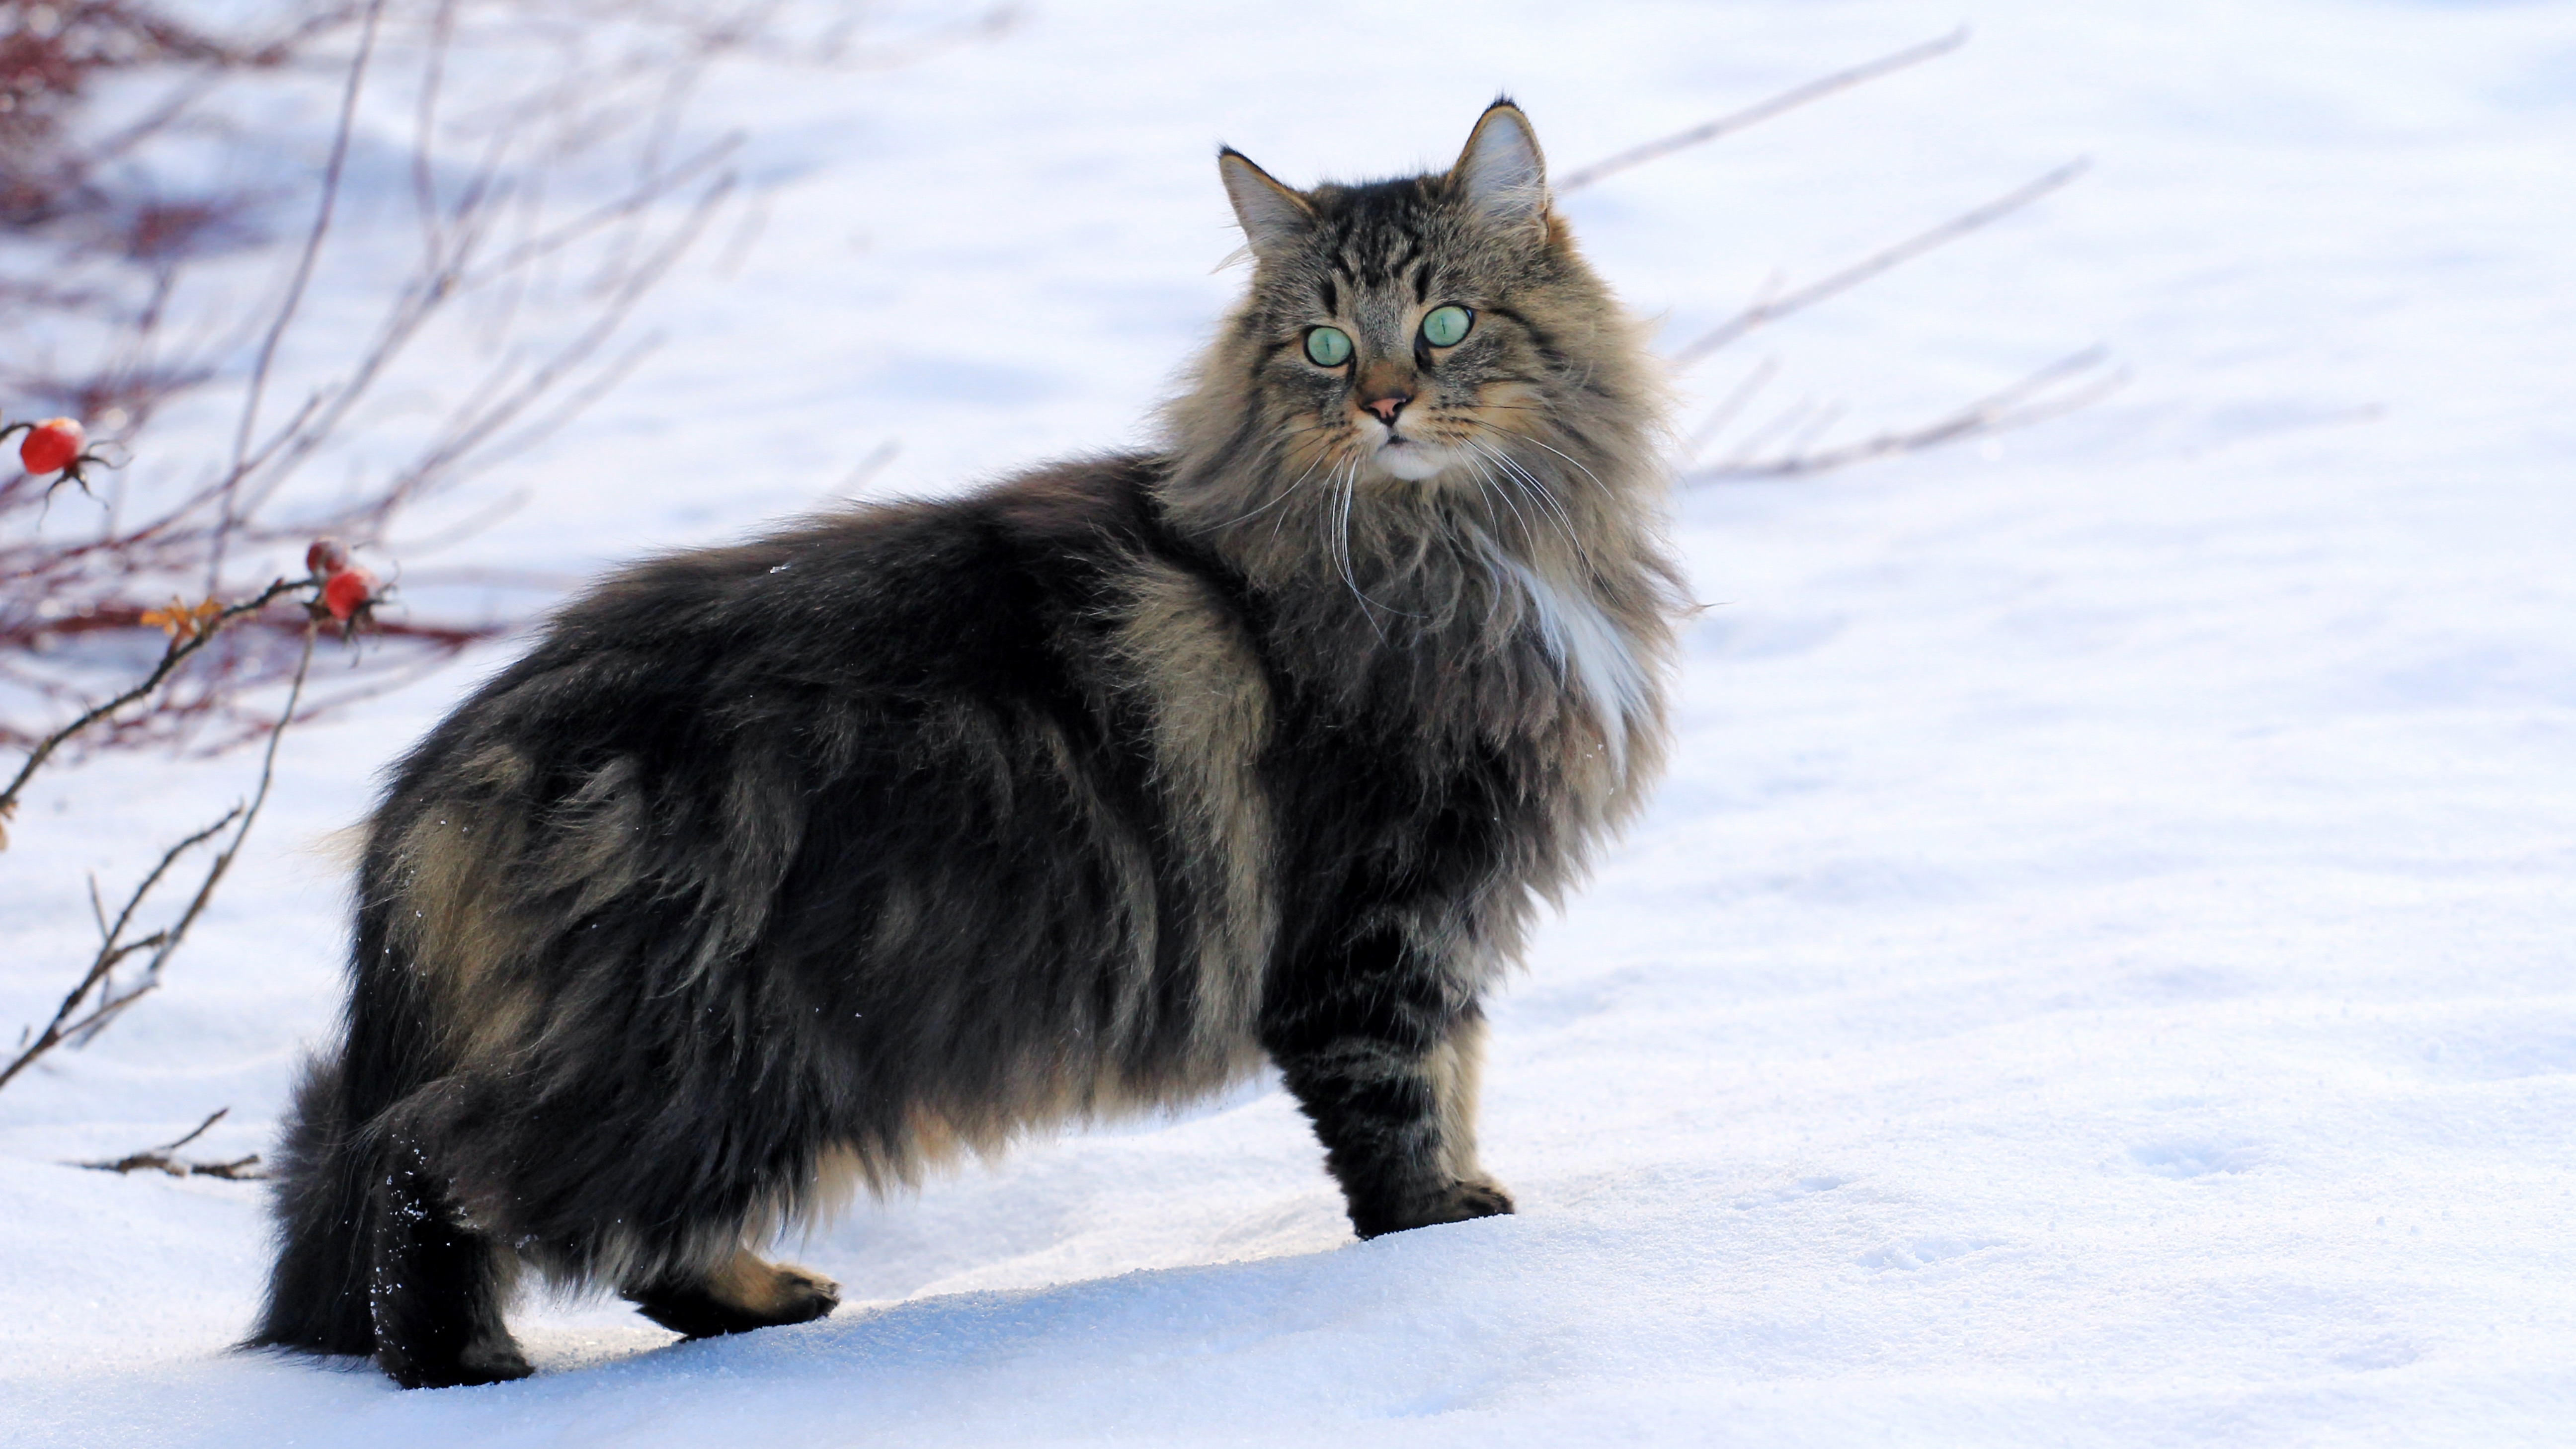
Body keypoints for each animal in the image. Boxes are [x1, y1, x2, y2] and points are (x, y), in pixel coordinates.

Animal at [246, 96, 1690, 1382]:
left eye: (1446, 325)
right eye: (1326, 345)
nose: (1386, 403)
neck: (1456, 550)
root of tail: (449, 763)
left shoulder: (1447, 909)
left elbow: (1456, 1072)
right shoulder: (1382, 916)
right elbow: (1401, 1101)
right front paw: (1441, 1243)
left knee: (596, 1222)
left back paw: (765, 1298)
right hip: (703, 1048)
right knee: (438, 1166)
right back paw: (471, 1364)